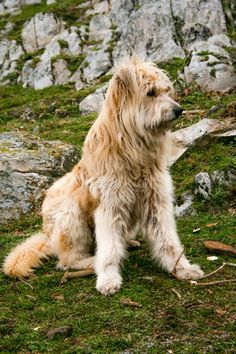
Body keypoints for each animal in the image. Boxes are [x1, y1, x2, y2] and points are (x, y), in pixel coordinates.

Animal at [2, 58, 204, 296]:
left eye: (166, 90)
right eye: (151, 93)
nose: (179, 110)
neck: (134, 151)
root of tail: (46, 234)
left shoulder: (156, 201)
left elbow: (168, 240)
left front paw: (182, 268)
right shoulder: (109, 206)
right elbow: (109, 249)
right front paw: (108, 278)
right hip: (71, 216)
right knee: (67, 260)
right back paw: (91, 261)